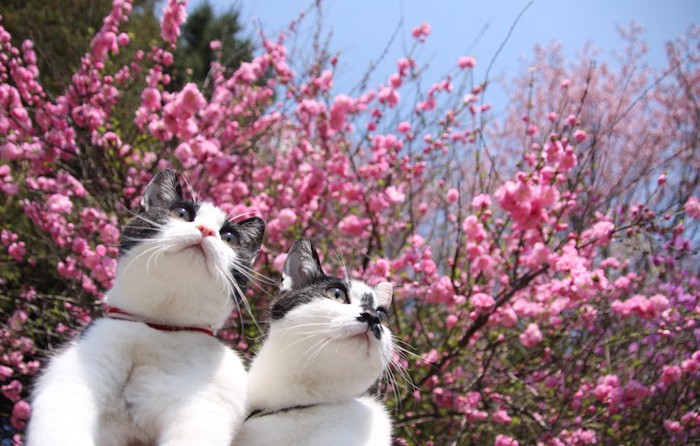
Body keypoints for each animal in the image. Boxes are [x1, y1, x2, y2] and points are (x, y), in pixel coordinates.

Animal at [26, 169, 264, 444]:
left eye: (229, 237)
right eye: (181, 213)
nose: (206, 230)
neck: (158, 328)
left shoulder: (205, 403)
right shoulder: (77, 371)